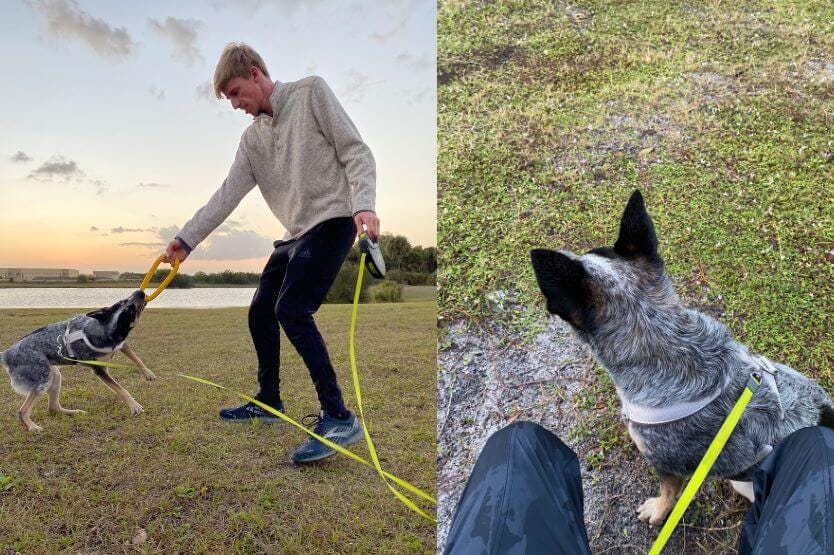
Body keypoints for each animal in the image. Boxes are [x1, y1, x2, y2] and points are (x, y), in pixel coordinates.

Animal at [0, 292, 154, 434]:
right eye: (129, 309)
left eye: (123, 300)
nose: (140, 292)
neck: (104, 329)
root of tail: (6, 354)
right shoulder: (99, 370)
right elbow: (121, 389)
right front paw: (134, 406)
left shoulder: (121, 344)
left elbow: (136, 358)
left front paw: (148, 373)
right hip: (42, 379)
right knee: (22, 411)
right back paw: (32, 426)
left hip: (54, 375)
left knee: (53, 408)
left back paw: (74, 412)